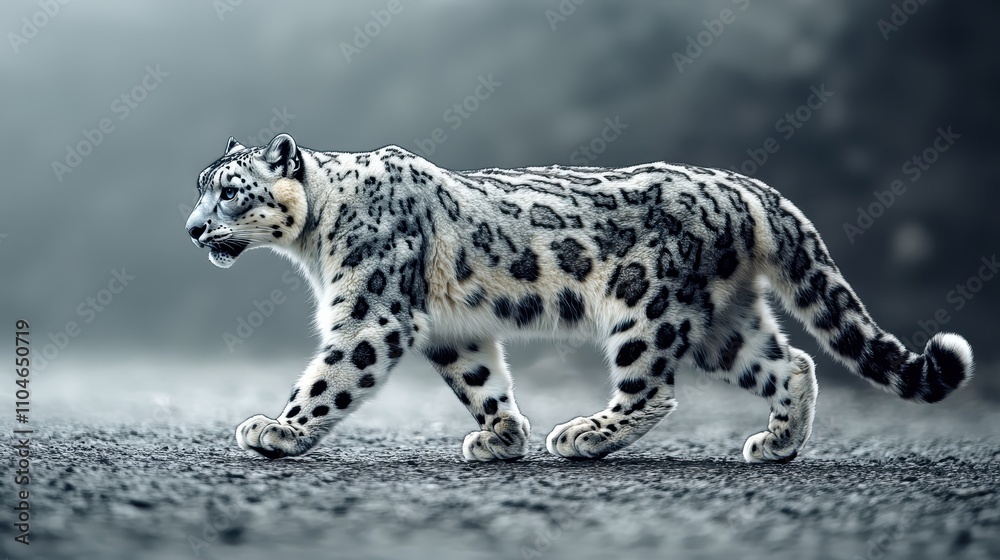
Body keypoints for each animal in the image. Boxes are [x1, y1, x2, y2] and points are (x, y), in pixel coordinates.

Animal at [184, 133, 974, 463]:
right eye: (200, 187)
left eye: (231, 191)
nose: (192, 230)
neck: (315, 243)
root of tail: (742, 186)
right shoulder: (450, 329)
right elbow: (481, 378)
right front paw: (502, 436)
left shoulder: (372, 313)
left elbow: (329, 377)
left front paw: (278, 430)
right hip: (725, 321)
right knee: (792, 363)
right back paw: (777, 444)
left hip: (647, 306)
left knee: (653, 389)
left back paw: (586, 435)